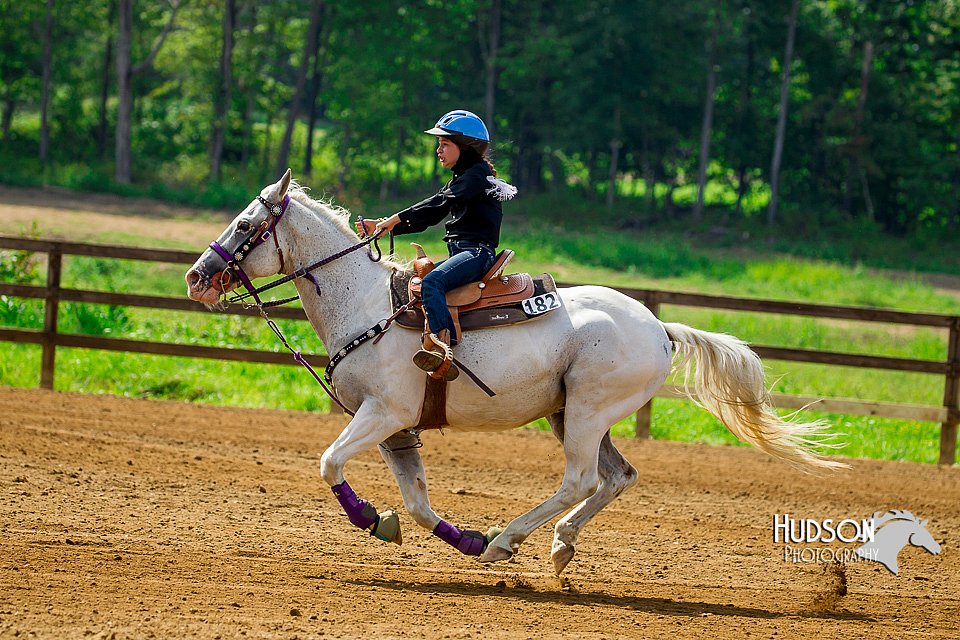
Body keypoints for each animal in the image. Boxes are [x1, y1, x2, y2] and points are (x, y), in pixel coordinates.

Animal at [184, 170, 844, 576]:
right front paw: (450, 536)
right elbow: (417, 504)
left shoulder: (384, 413)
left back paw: (510, 540)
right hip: (572, 414)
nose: (196, 277)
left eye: (247, 226)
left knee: (580, 480)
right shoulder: (399, 429)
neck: (368, 303)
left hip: (585, 413)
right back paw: (556, 545)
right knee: (618, 477)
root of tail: (660, 328)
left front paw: (371, 517)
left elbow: (328, 462)